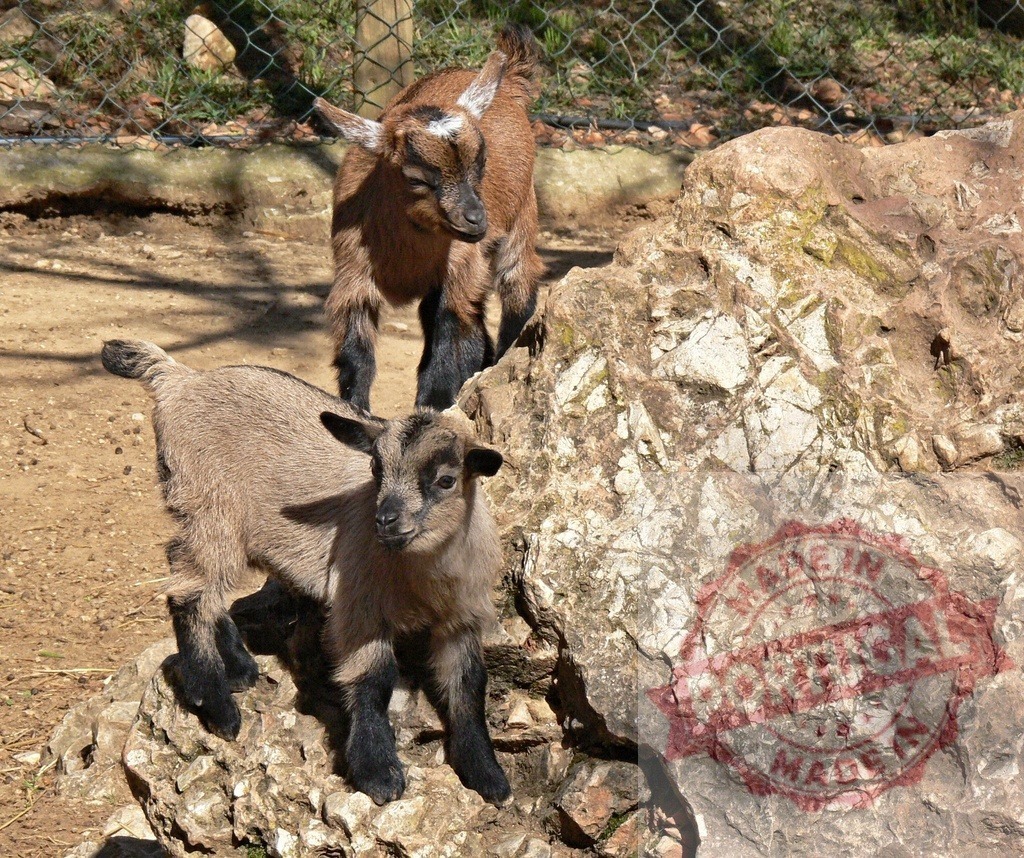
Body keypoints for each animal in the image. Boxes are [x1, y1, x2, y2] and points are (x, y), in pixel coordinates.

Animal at [101, 339, 511, 805]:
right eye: (376, 469)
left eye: (446, 480)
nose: (385, 520)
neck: (423, 578)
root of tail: (180, 378)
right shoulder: (359, 606)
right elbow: (373, 680)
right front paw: (377, 772)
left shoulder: (462, 617)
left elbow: (468, 686)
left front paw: (487, 773)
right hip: (210, 506)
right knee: (188, 589)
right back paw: (218, 705)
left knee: (195, 578)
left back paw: (239, 667)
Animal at [314, 24, 544, 412]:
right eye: (416, 178)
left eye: (481, 163)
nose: (475, 219)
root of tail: (511, 75)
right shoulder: (353, 274)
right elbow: (355, 352)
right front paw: (356, 408)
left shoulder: (460, 268)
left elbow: (451, 339)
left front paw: (434, 405)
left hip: (522, 214)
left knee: (517, 285)